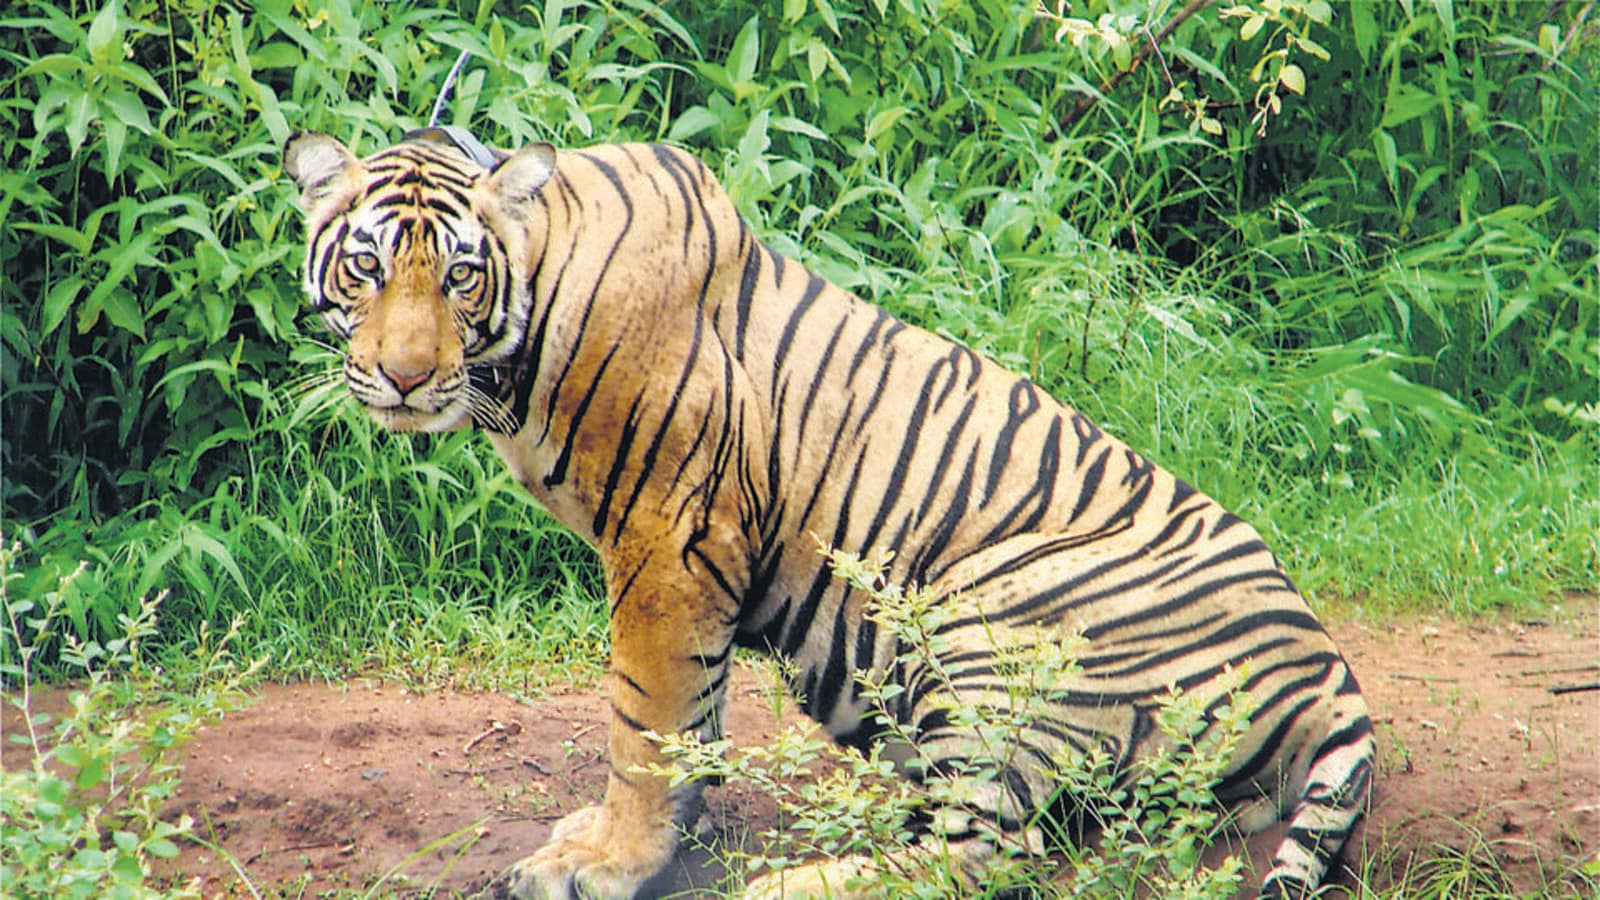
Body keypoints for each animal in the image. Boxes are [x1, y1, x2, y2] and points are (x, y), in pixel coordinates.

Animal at [283, 126, 1374, 899]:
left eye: (460, 275)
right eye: (366, 267)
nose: (404, 376)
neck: (514, 358)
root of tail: (1330, 670)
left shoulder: (668, 537)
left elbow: (642, 722)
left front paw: (610, 862)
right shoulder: (689, 560)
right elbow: (692, 712)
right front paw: (668, 835)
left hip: (988, 617)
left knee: (990, 856)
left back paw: (785, 889)